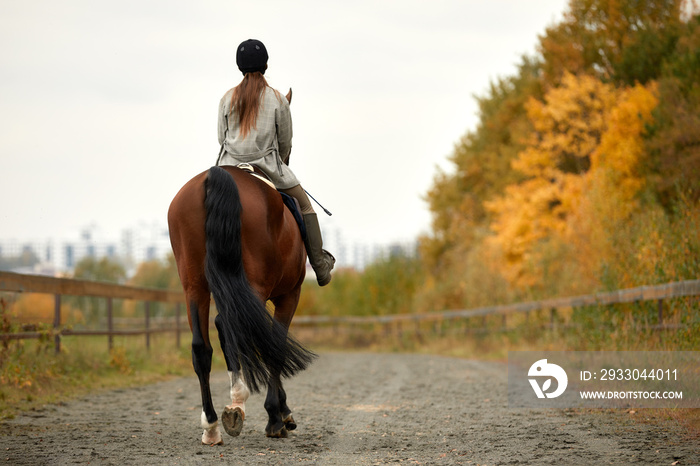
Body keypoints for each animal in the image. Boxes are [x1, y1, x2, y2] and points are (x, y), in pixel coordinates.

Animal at [167, 160, 314, 444]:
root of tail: (217, 175)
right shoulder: (290, 295)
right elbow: (275, 346)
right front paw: (278, 415)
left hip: (194, 286)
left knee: (202, 347)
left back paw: (212, 424)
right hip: (254, 287)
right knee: (233, 330)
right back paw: (238, 404)